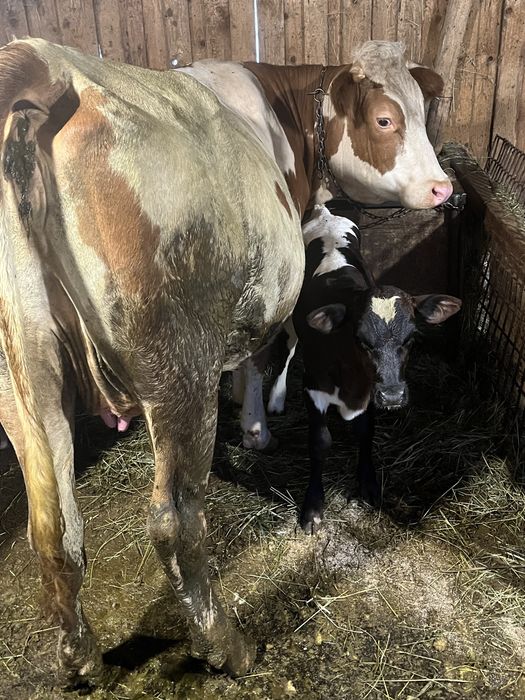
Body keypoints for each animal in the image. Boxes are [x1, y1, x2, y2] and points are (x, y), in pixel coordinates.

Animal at [0, 38, 304, 685]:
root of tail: (42, 63)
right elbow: (263, 359)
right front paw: (259, 425)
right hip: (177, 363)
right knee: (176, 519)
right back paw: (226, 647)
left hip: (21, 379)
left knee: (54, 528)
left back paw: (81, 662)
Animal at [268, 206, 461, 534]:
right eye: (360, 339)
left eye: (411, 338)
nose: (393, 395)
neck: (352, 380)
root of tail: (326, 213)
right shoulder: (313, 386)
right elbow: (320, 442)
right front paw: (313, 507)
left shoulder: (372, 388)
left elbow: (365, 432)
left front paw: (368, 485)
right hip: (290, 321)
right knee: (288, 349)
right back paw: (276, 397)